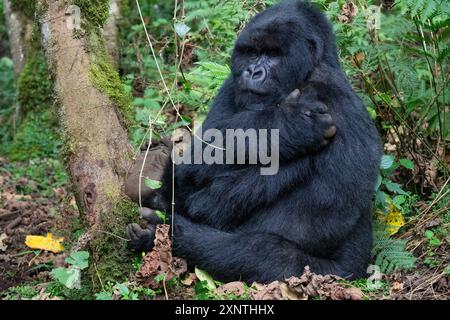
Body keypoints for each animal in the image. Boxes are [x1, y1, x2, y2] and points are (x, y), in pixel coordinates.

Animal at [125, 0, 380, 282]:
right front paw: (291, 124)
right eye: (251, 52)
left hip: (336, 274)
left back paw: (167, 232)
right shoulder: (231, 84)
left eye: (273, 54)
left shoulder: (338, 100)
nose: (253, 71)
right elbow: (206, 149)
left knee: (264, 253)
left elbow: (318, 220)